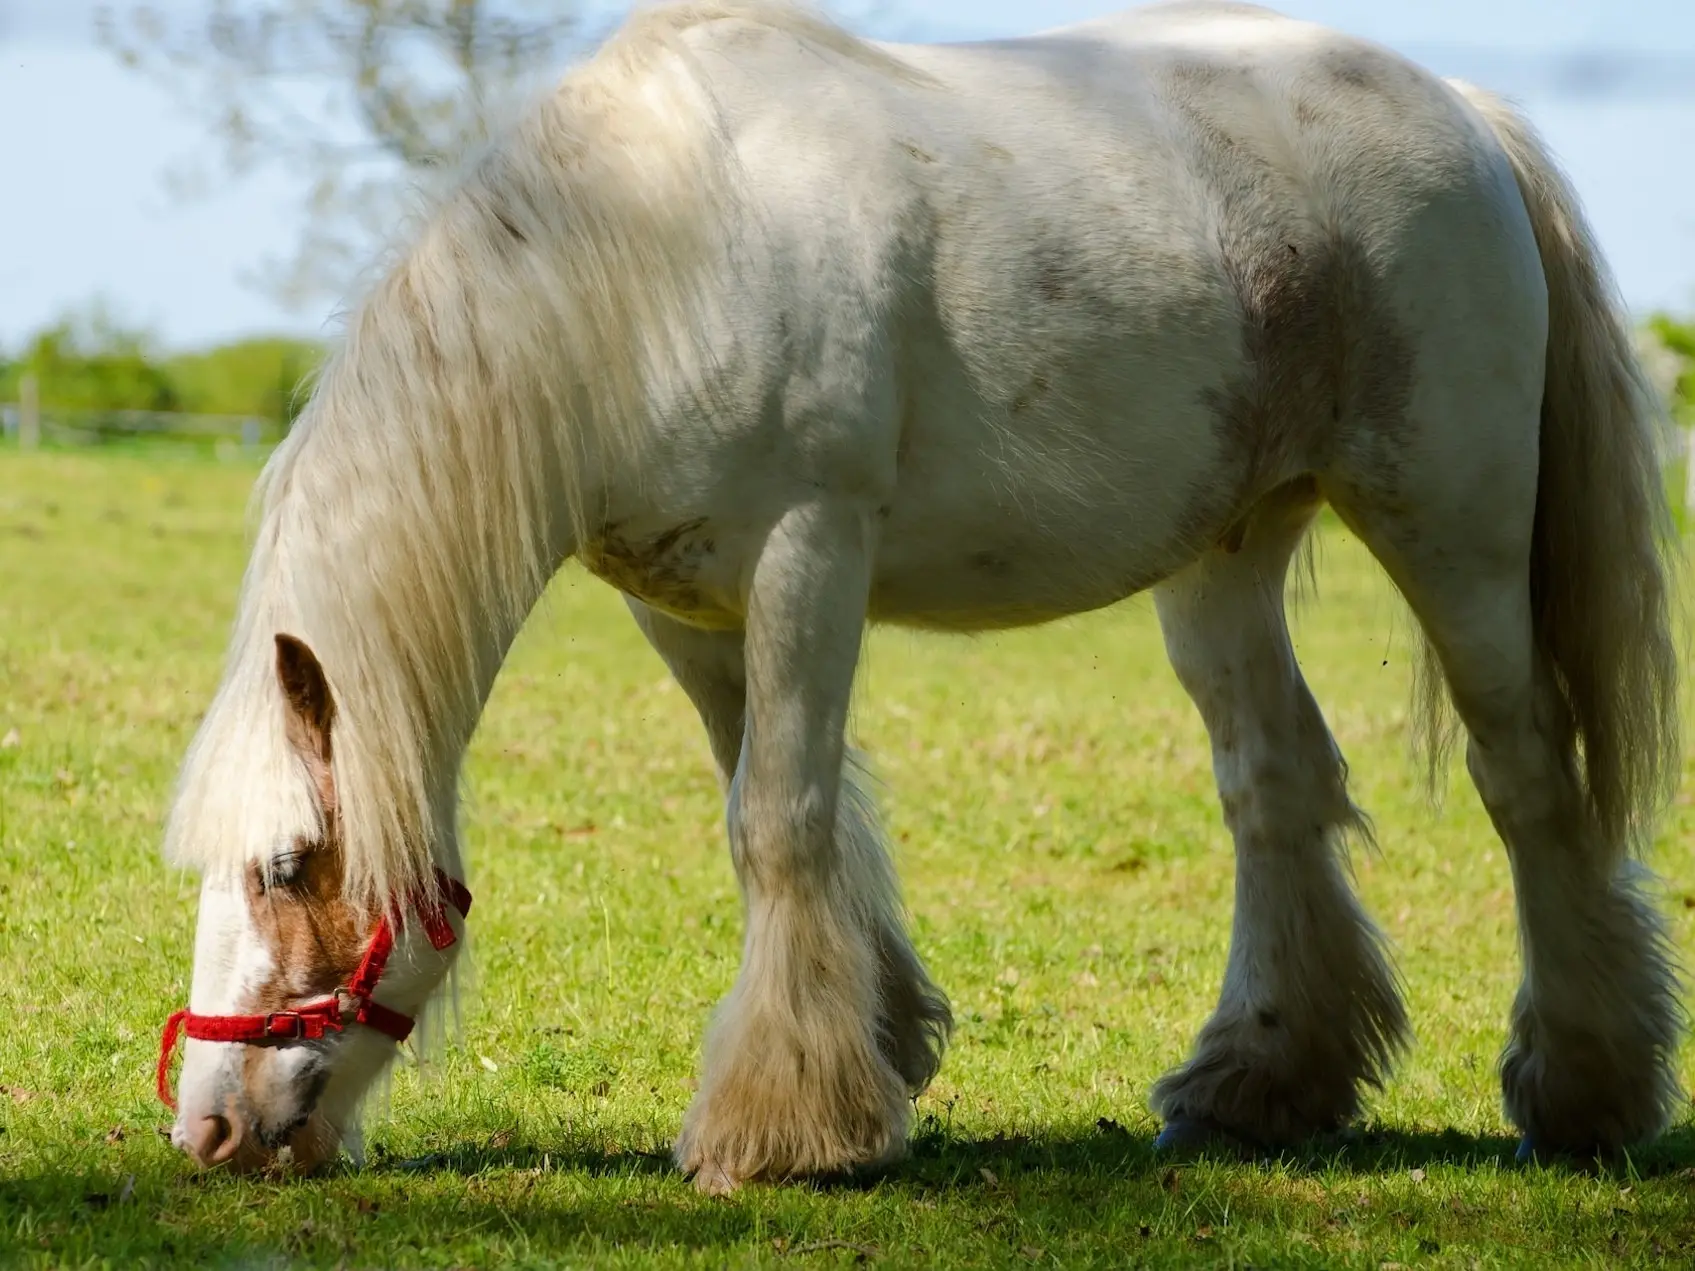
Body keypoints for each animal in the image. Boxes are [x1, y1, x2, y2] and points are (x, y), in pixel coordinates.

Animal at [155, 0, 1681, 1193]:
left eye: (288, 864)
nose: (209, 1129)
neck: (649, 266)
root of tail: (1468, 115)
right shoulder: (686, 610)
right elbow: (787, 814)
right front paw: (877, 1045)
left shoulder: (808, 554)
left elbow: (779, 819)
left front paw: (775, 1128)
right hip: (1225, 558)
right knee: (1276, 784)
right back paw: (1261, 1083)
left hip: (1450, 531)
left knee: (1525, 778)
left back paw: (1584, 1089)